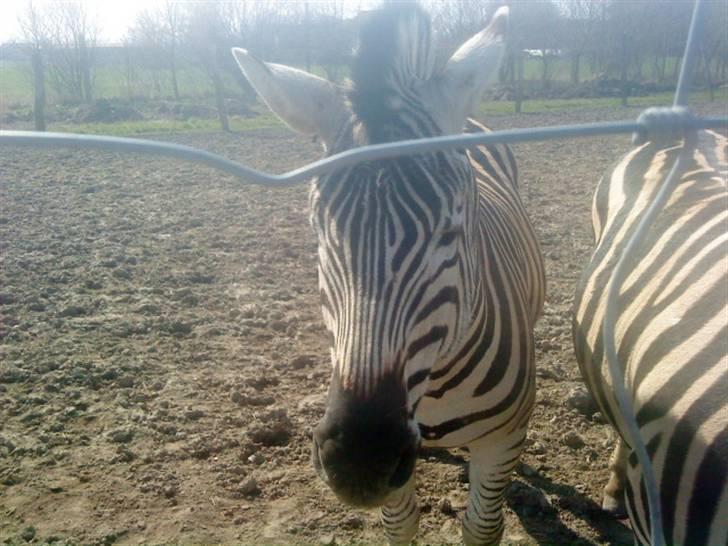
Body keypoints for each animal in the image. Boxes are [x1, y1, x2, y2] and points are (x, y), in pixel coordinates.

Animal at [233, 4, 544, 545]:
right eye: (318, 232)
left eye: (451, 230)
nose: (359, 461)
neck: (434, 385)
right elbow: (400, 523)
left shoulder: (502, 440)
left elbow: (482, 525)